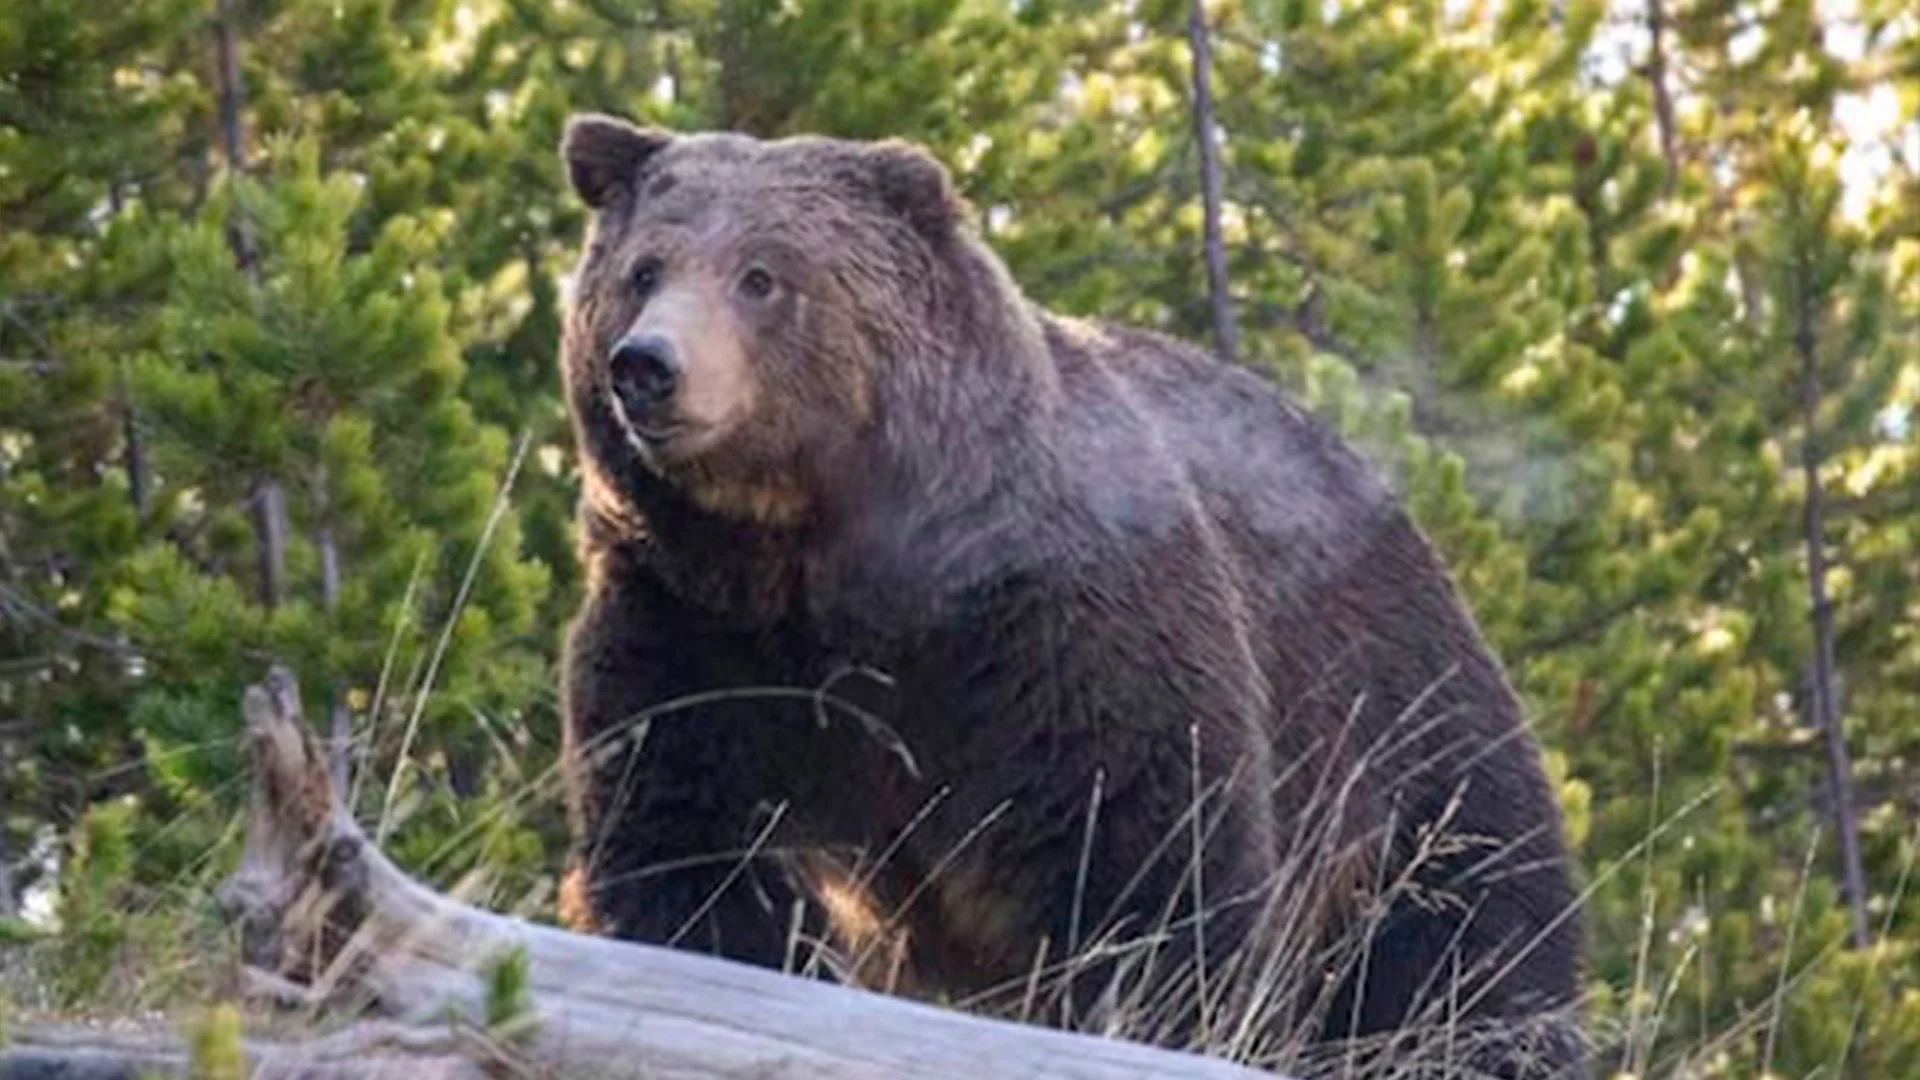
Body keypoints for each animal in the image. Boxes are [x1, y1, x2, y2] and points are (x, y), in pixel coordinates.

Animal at [553, 113, 1585, 1077]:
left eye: (762, 276)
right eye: (644, 270)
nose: (649, 366)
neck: (821, 558)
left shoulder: (1053, 627)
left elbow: (1139, 857)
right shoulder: (695, 625)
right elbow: (690, 839)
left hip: (1400, 719)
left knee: (1469, 940)